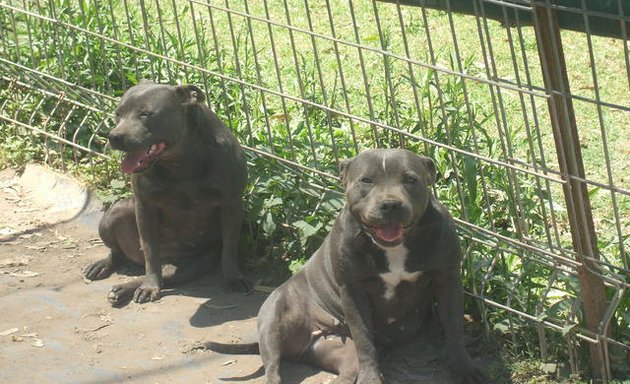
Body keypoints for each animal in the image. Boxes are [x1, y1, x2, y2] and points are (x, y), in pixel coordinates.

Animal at [83, 82, 249, 306]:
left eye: (145, 113)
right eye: (118, 114)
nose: (114, 136)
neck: (180, 160)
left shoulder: (231, 203)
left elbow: (230, 247)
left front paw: (233, 277)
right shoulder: (144, 206)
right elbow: (150, 252)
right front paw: (150, 287)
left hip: (190, 266)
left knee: (165, 274)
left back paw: (123, 288)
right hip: (114, 214)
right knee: (122, 255)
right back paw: (107, 270)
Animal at [205, 148, 486, 382]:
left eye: (410, 179)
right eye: (366, 180)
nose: (390, 204)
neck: (394, 248)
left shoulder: (448, 278)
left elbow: (454, 328)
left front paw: (466, 369)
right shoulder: (352, 289)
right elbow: (364, 340)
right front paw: (371, 378)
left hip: (340, 352)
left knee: (346, 372)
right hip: (273, 322)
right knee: (273, 369)